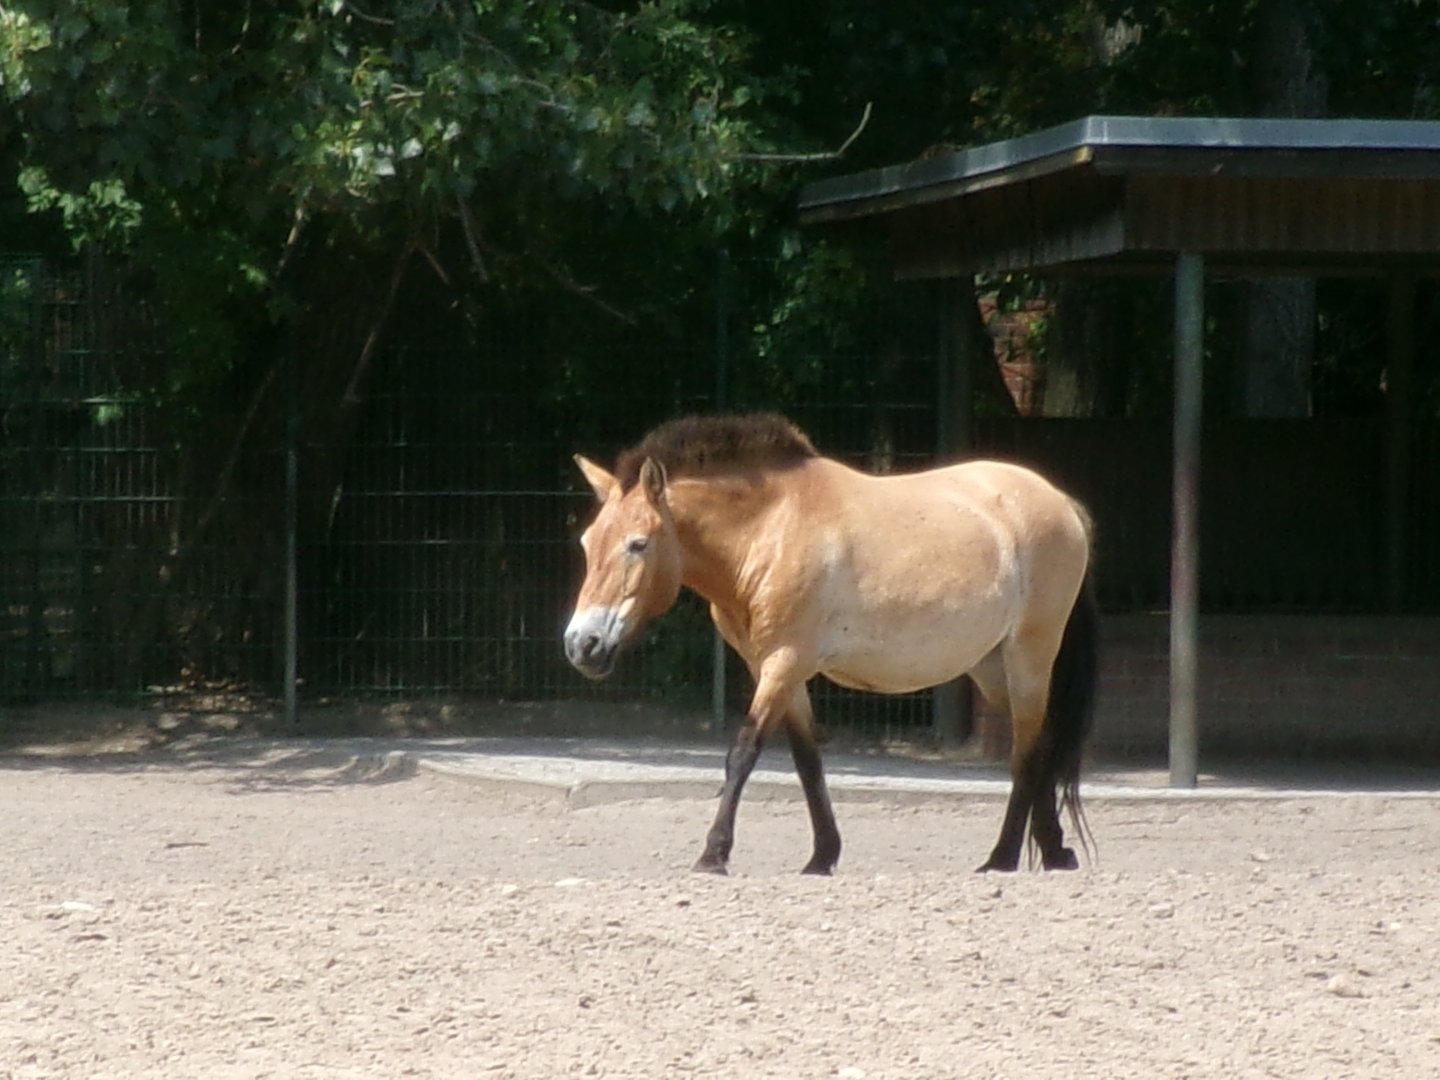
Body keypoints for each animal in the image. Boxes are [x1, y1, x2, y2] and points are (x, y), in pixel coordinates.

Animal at [563, 413, 1098, 875]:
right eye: (588, 543)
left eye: (637, 544)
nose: (581, 644)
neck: (770, 530)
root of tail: (1060, 501)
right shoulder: (774, 669)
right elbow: (807, 763)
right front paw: (822, 857)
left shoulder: (785, 662)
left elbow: (743, 752)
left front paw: (713, 855)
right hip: (990, 668)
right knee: (1039, 744)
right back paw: (1054, 852)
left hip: (1029, 655)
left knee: (1026, 750)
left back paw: (1002, 858)